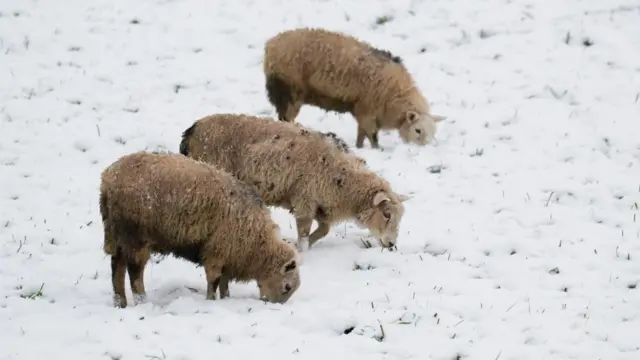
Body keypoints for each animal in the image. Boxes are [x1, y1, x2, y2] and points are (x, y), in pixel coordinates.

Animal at [98, 150, 302, 308]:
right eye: (287, 287)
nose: (273, 305)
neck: (257, 245)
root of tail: (108, 180)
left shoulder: (228, 254)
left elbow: (224, 282)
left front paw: (226, 298)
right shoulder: (216, 252)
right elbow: (214, 280)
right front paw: (211, 301)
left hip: (116, 233)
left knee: (117, 266)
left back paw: (120, 302)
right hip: (135, 235)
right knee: (134, 272)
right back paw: (142, 301)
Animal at [180, 114, 410, 252]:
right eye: (387, 214)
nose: (391, 245)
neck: (344, 181)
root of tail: (192, 130)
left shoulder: (321, 205)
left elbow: (324, 230)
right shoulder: (304, 201)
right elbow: (304, 232)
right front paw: (302, 250)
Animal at [262, 27, 448, 149]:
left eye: (433, 132)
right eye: (417, 130)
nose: (422, 150)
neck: (396, 98)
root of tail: (270, 44)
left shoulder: (364, 112)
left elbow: (362, 134)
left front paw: (359, 147)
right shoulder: (368, 112)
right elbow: (372, 136)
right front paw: (376, 149)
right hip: (289, 91)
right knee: (286, 117)